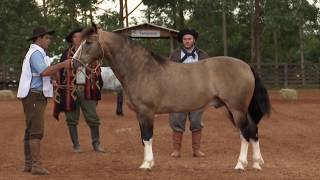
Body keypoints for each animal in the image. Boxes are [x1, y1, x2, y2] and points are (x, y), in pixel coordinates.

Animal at [72, 25, 270, 170]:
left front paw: (146, 164)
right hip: (239, 109)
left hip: (236, 109)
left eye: (89, 42)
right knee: (253, 130)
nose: (74, 62)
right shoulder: (140, 114)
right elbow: (144, 138)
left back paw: (240, 165)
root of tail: (246, 66)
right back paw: (257, 163)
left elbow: (147, 137)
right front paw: (148, 162)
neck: (140, 69)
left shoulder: (146, 112)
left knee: (245, 133)